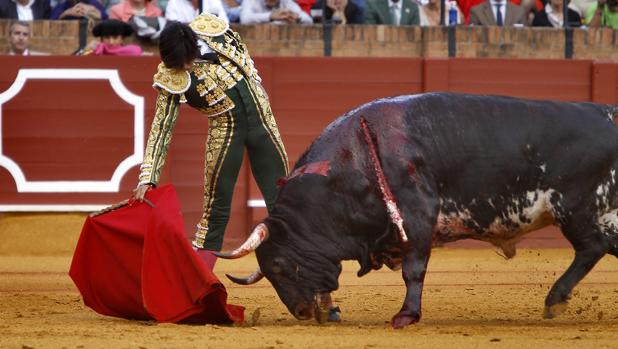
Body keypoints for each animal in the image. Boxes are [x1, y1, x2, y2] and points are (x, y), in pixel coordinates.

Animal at [214, 92, 616, 326]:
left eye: (280, 265)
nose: (300, 313)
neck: (354, 163)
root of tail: (607, 114)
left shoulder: (418, 217)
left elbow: (414, 271)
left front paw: (406, 315)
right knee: (599, 248)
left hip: (576, 209)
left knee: (591, 247)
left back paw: (555, 301)